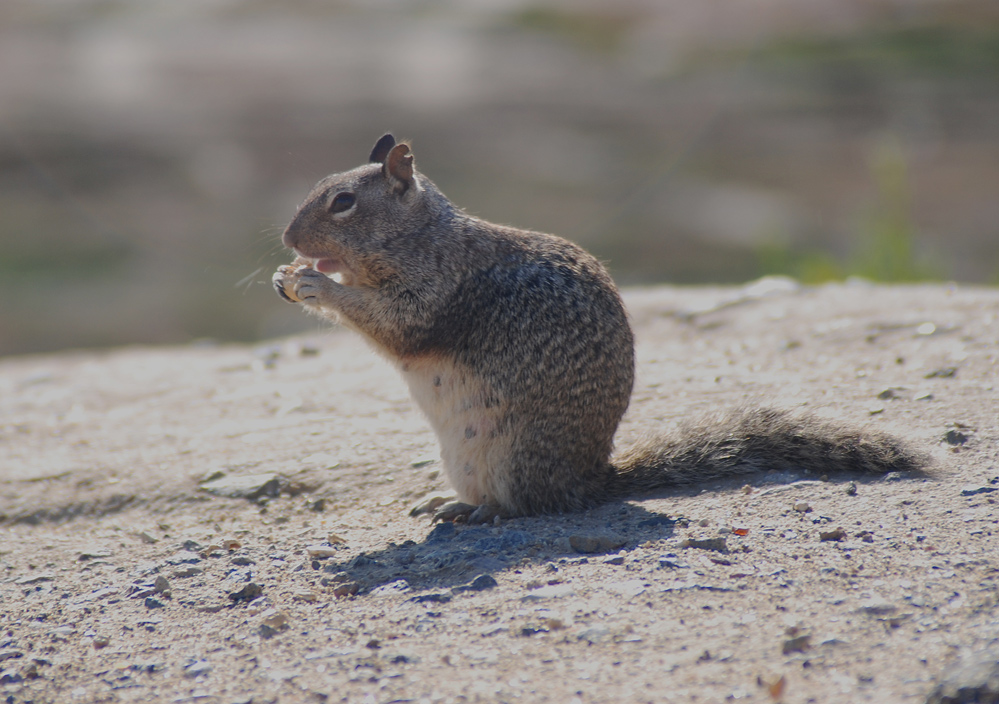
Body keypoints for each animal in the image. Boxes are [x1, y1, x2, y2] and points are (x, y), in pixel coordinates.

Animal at [270, 133, 924, 524]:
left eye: (344, 202)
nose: (287, 239)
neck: (419, 236)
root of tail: (592, 477)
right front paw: (286, 277)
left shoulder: (432, 292)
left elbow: (392, 323)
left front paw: (315, 285)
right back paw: (449, 503)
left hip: (513, 453)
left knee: (530, 505)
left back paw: (487, 513)